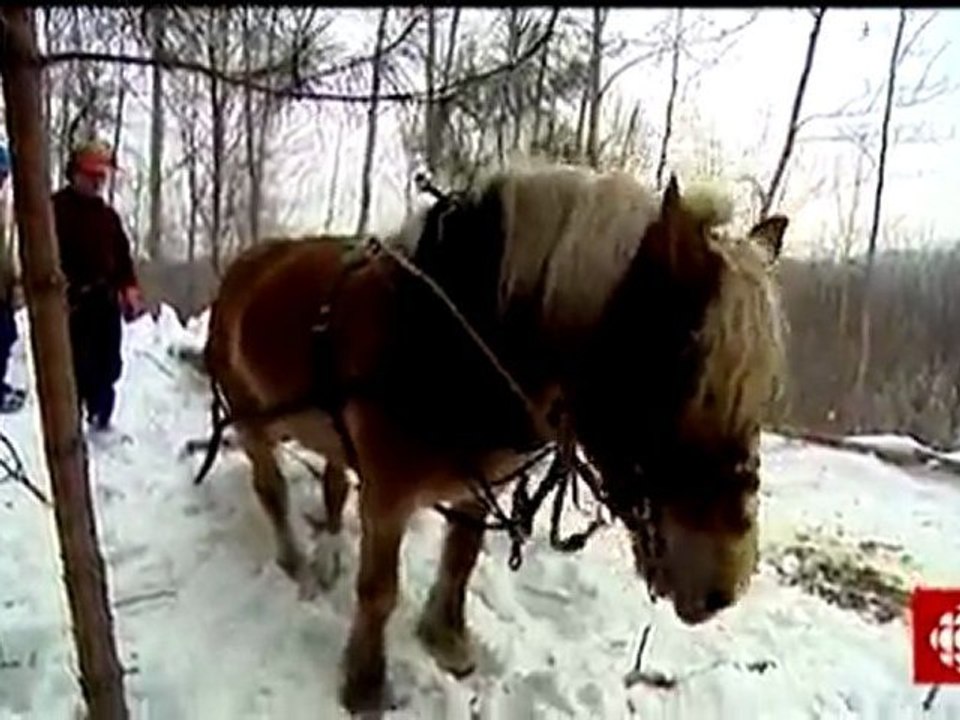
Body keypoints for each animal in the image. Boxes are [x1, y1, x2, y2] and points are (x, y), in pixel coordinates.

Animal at [193, 161, 790, 714]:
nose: (725, 586)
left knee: (335, 484)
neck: (450, 336)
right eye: (686, 380)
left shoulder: (480, 483)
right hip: (248, 418)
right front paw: (365, 683)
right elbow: (379, 590)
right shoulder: (387, 493)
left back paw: (328, 551)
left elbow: (461, 558)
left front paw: (446, 639)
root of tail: (246, 265)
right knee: (272, 490)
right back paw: (295, 560)